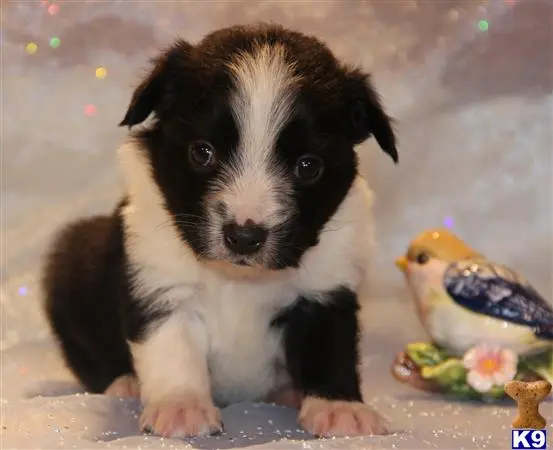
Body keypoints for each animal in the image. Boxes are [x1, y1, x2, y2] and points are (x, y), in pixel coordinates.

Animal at [43, 22, 396, 438]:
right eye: (202, 152)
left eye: (308, 166)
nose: (244, 236)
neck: (239, 280)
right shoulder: (160, 283)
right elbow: (172, 347)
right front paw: (181, 406)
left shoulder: (326, 290)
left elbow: (330, 347)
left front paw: (340, 407)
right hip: (72, 263)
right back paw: (125, 383)